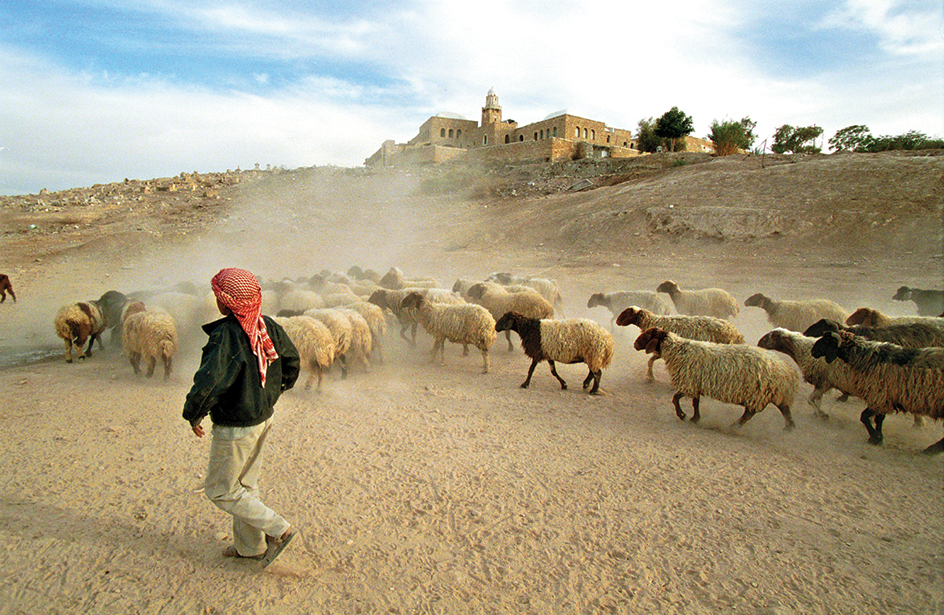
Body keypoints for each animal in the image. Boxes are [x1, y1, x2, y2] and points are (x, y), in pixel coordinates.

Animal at [616, 306, 748, 382]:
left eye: (627, 313)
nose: (617, 321)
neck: (652, 321)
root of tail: (736, 333)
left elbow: (650, 361)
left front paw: (650, 377)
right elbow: (650, 361)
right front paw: (650, 376)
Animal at [636, 324, 796, 430]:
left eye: (647, 335)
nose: (635, 344)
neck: (677, 350)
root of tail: (785, 370)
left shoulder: (688, 383)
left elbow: (675, 399)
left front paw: (683, 415)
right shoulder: (695, 384)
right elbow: (695, 402)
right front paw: (695, 418)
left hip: (759, 393)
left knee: (750, 413)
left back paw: (734, 426)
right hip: (771, 393)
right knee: (784, 409)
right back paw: (789, 429)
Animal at [808, 330, 940, 454]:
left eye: (827, 341)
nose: (813, 351)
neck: (869, 357)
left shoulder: (880, 397)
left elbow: (865, 416)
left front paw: (876, 437)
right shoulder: (883, 399)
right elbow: (878, 419)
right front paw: (877, 437)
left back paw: (930, 450)